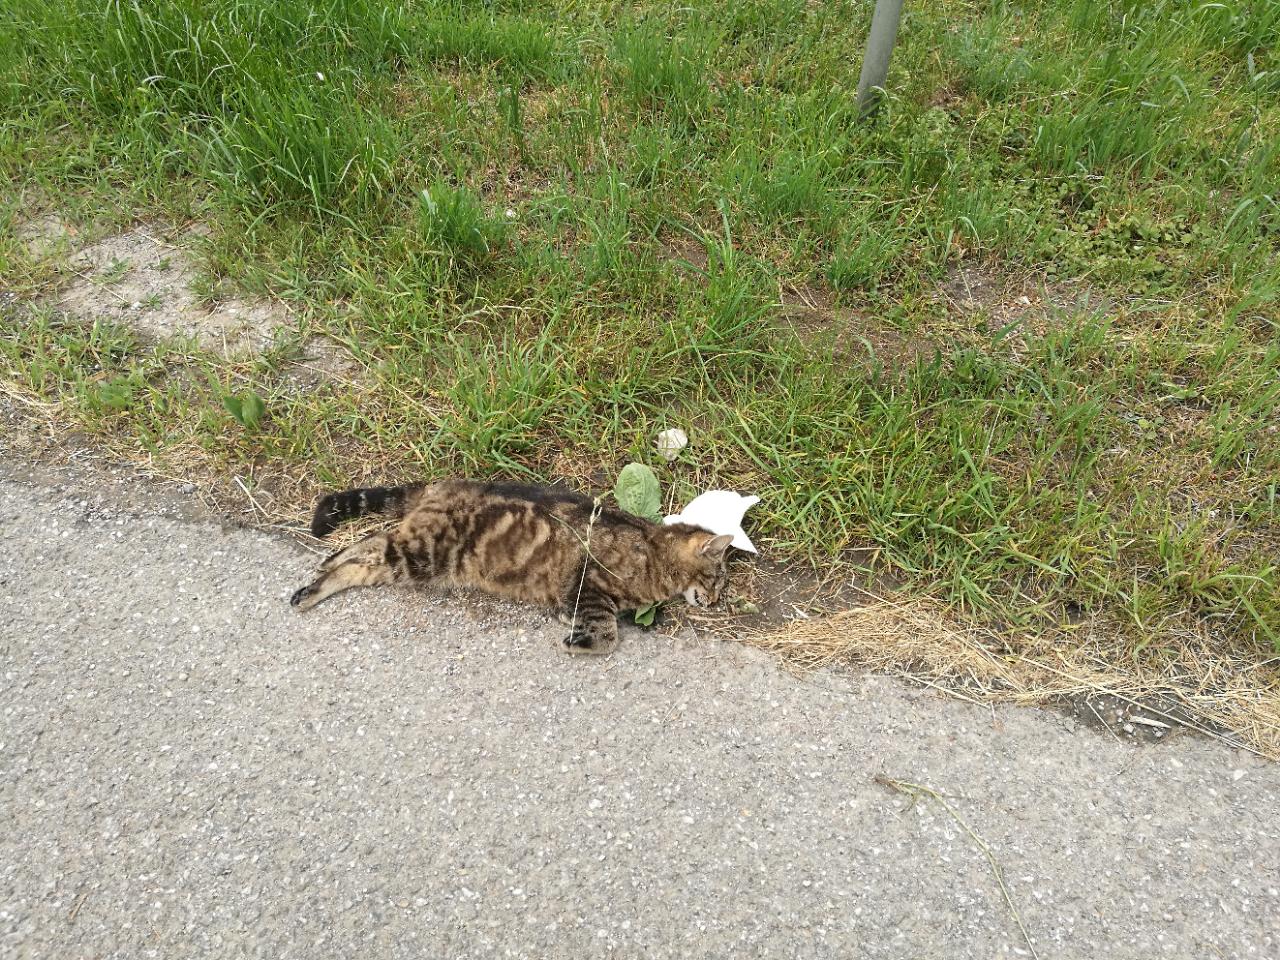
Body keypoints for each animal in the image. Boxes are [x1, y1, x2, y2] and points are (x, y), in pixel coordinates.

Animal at [291, 480, 733, 655]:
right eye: (716, 580)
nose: (715, 601)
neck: (655, 552)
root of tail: (439, 485)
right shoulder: (587, 580)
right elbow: (607, 633)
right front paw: (580, 639)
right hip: (422, 555)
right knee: (363, 553)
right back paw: (310, 590)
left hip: (412, 552)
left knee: (363, 547)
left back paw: (322, 568)